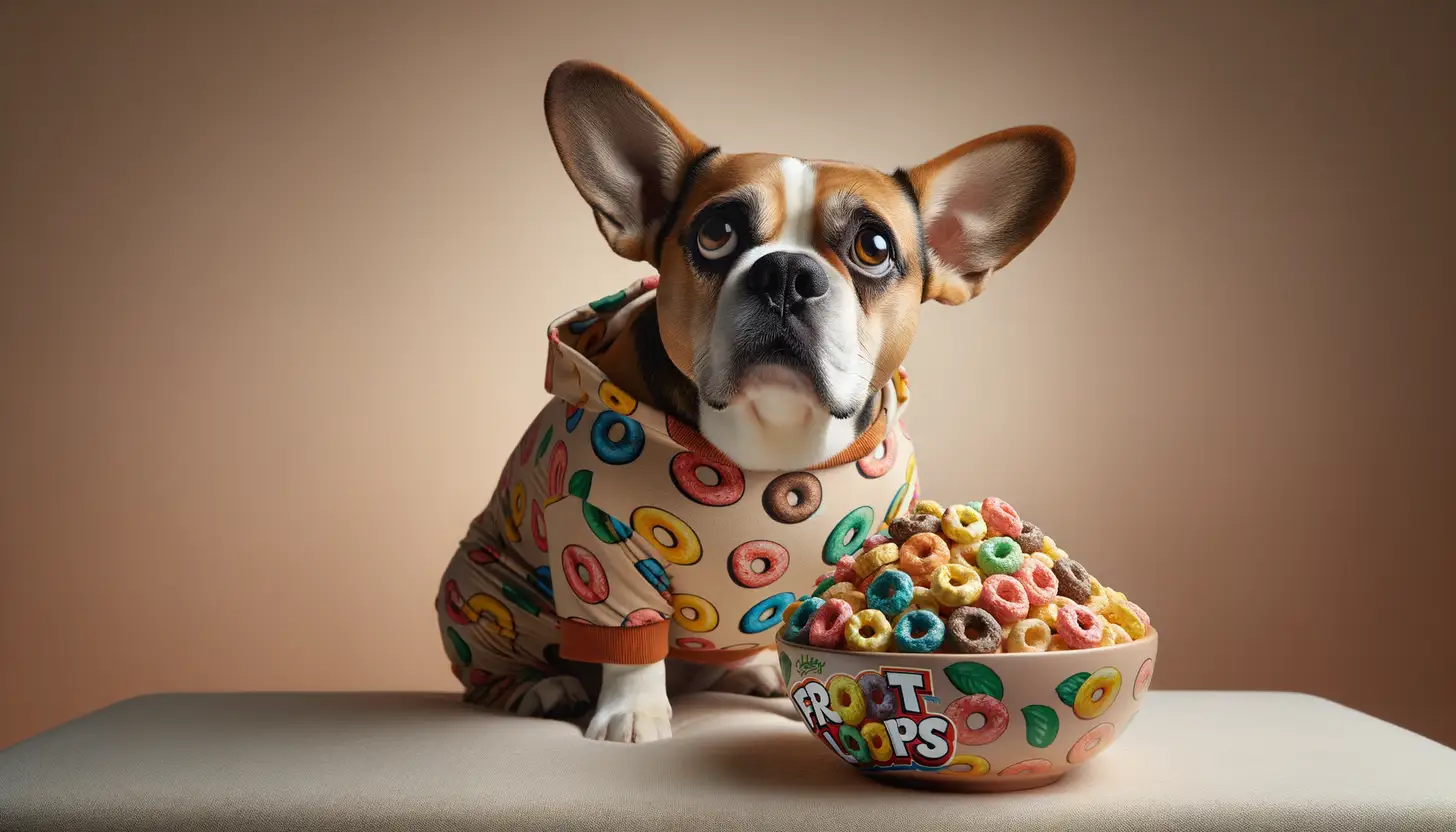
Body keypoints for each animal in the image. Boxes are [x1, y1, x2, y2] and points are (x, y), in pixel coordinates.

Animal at [430, 61, 1071, 746]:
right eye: (717, 232)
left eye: (873, 246)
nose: (786, 273)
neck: (777, 437)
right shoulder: (596, 540)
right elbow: (631, 644)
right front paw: (633, 714)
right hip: (485, 590)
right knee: (494, 663)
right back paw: (539, 686)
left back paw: (756, 672)